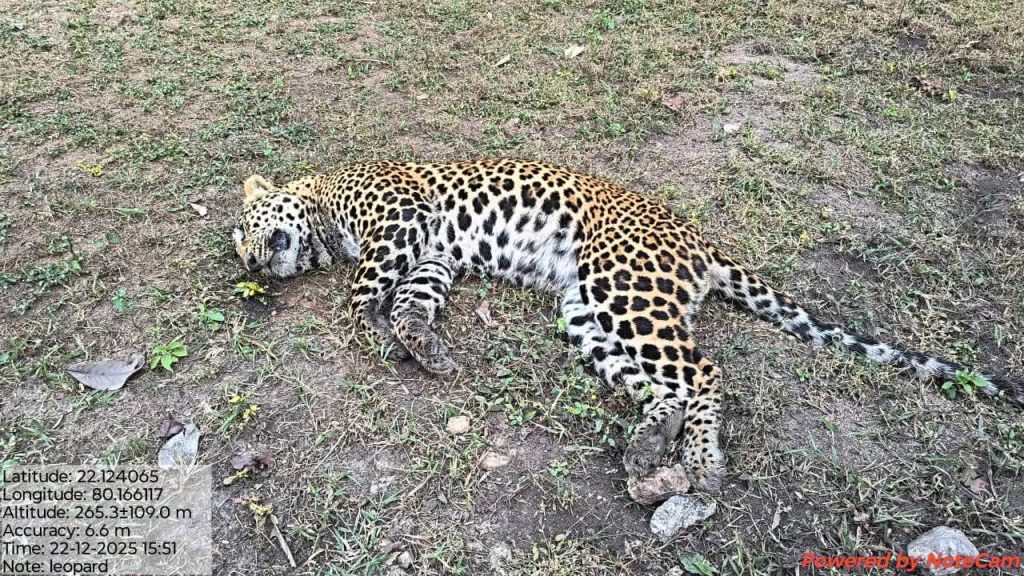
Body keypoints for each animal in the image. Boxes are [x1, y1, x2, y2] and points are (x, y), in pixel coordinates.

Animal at [232, 158, 1024, 494]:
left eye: (243, 230)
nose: (251, 268)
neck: (327, 205)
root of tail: (699, 240)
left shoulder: (399, 223)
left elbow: (364, 290)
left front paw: (372, 326)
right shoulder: (430, 258)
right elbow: (409, 303)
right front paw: (423, 348)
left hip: (624, 288)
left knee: (706, 370)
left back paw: (701, 462)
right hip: (586, 312)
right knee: (665, 386)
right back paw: (650, 445)